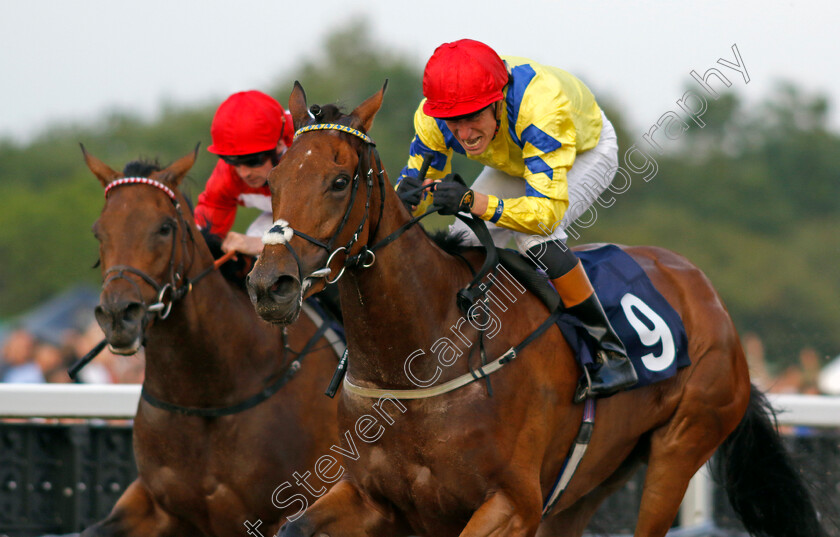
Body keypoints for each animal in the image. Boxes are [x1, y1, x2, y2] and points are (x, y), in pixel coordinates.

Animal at [79, 148, 342, 536]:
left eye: (165, 227)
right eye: (99, 231)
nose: (117, 315)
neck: (207, 393)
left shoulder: (289, 506)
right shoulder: (159, 505)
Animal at [246, 84, 824, 536]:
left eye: (339, 181)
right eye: (273, 182)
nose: (270, 285)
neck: (421, 356)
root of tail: (703, 290)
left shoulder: (512, 504)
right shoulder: (375, 499)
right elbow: (292, 526)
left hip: (680, 447)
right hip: (593, 478)